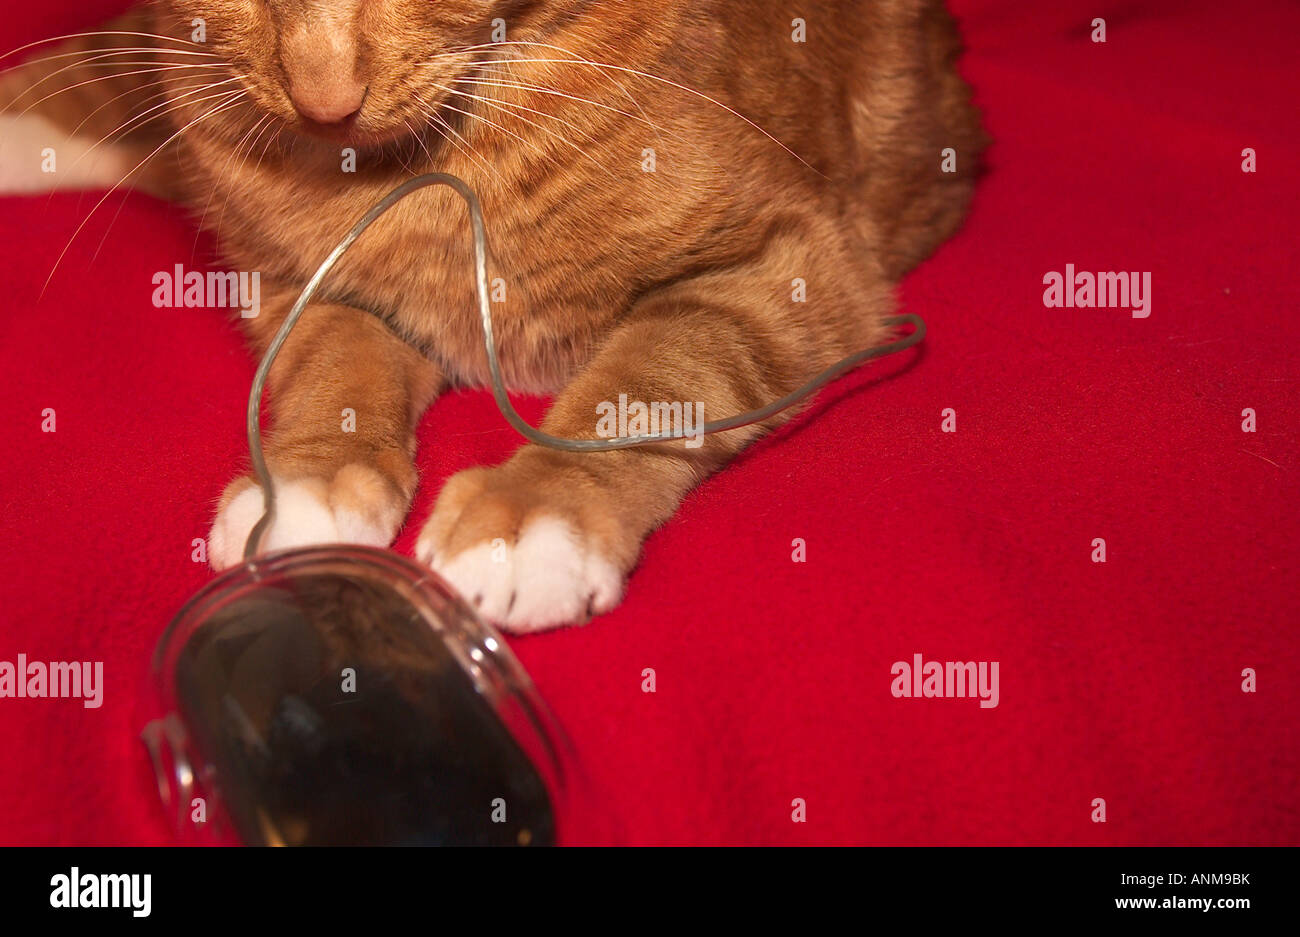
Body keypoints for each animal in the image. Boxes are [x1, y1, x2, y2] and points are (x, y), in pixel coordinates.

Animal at [0, 0, 977, 631]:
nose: (323, 99)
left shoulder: (787, 262)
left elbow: (646, 378)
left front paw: (538, 511)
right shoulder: (295, 285)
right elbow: (338, 365)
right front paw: (308, 480)